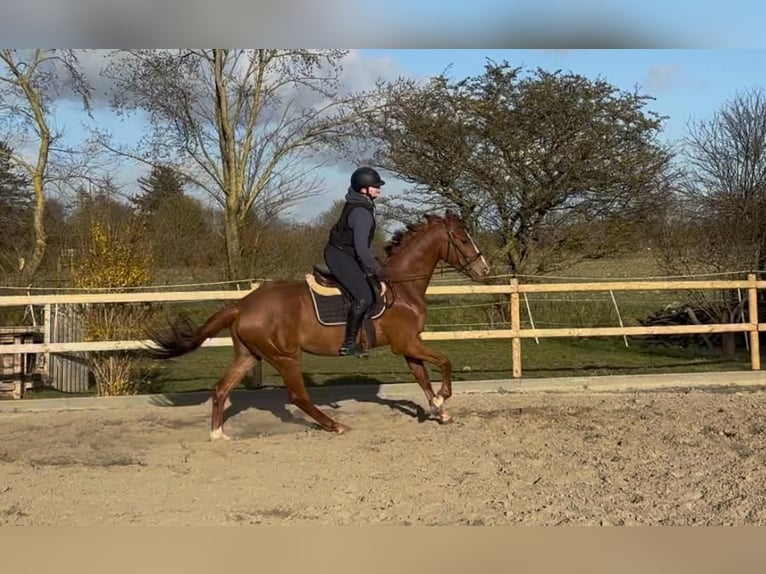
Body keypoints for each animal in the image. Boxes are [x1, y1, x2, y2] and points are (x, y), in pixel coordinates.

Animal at [145, 209, 490, 439]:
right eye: (462, 239)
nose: (484, 269)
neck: (401, 288)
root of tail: (242, 304)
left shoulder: (408, 345)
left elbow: (422, 377)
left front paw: (439, 410)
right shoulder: (406, 343)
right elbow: (444, 362)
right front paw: (443, 397)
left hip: (249, 355)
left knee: (221, 389)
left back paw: (218, 435)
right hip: (285, 357)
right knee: (298, 396)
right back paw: (335, 425)